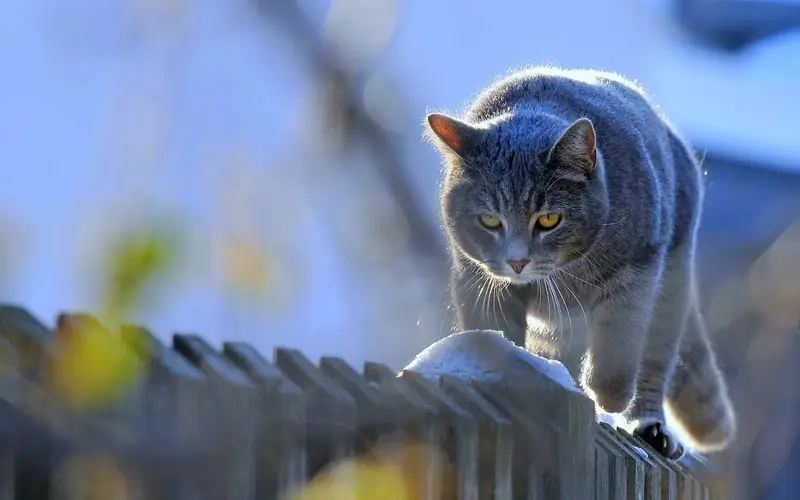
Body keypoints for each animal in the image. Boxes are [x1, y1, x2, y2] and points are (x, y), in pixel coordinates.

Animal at [424, 66, 736, 460]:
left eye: (548, 219)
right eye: (490, 220)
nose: (517, 261)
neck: (566, 274)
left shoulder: (638, 269)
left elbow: (619, 346)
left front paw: (608, 396)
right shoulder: (477, 280)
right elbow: (495, 332)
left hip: (672, 286)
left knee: (654, 362)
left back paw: (649, 427)